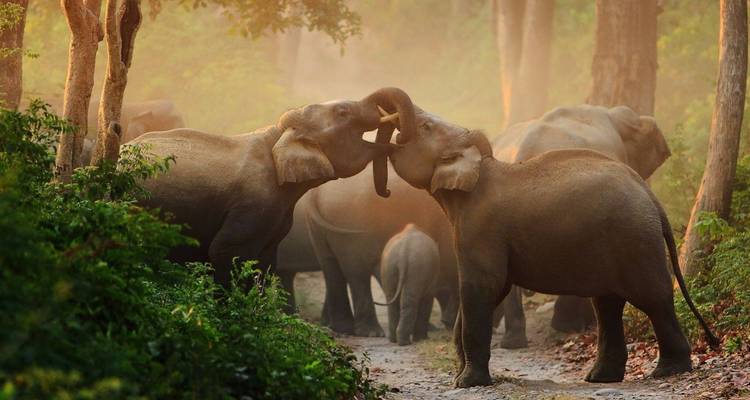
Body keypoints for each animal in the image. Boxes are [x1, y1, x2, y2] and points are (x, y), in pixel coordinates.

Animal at [128, 87, 417, 288]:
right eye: (343, 112)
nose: (387, 192)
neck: (278, 133)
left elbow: (265, 262)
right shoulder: (252, 205)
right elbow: (224, 251)